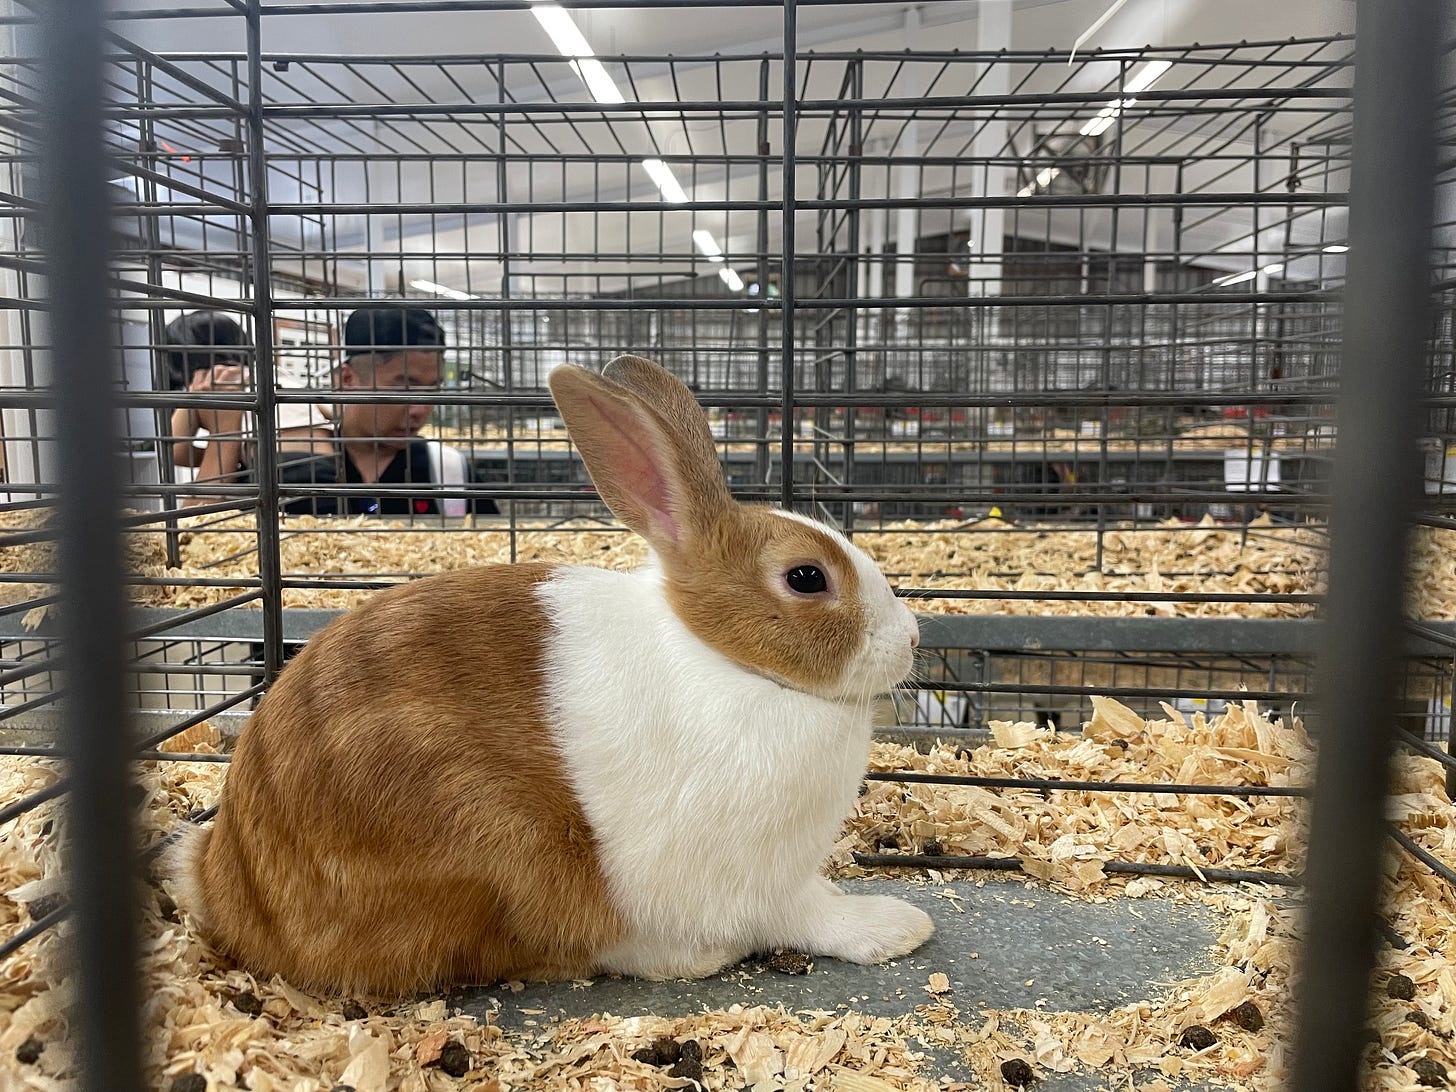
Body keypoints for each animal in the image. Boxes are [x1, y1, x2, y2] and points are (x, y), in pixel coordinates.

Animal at [171, 353, 933, 995]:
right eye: (806, 578)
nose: (913, 639)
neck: (726, 660)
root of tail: (229, 890)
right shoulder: (758, 881)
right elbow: (811, 917)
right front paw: (897, 928)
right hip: (494, 847)